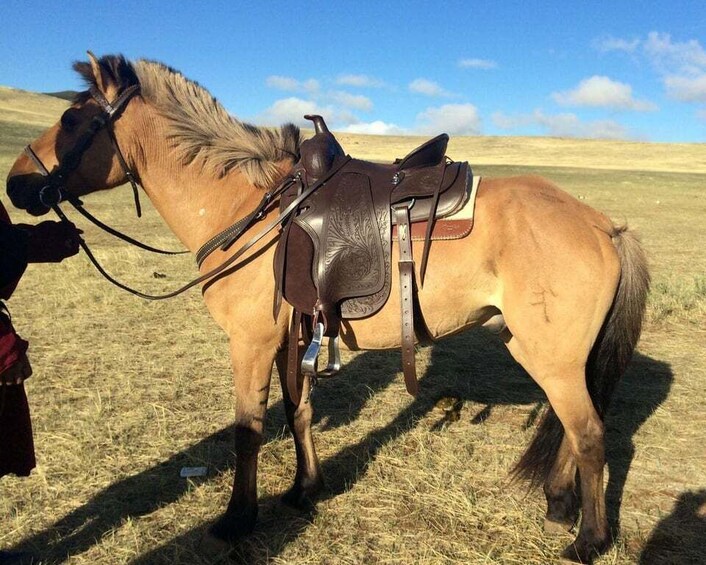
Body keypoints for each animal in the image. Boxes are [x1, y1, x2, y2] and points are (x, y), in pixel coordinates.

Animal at [6, 53, 650, 563]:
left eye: (72, 119)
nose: (15, 185)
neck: (250, 208)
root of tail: (604, 225)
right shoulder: (293, 337)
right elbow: (299, 415)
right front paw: (304, 489)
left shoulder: (251, 342)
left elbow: (247, 431)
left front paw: (238, 520)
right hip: (549, 352)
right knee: (571, 428)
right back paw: (559, 503)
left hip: (551, 355)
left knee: (589, 433)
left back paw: (588, 540)